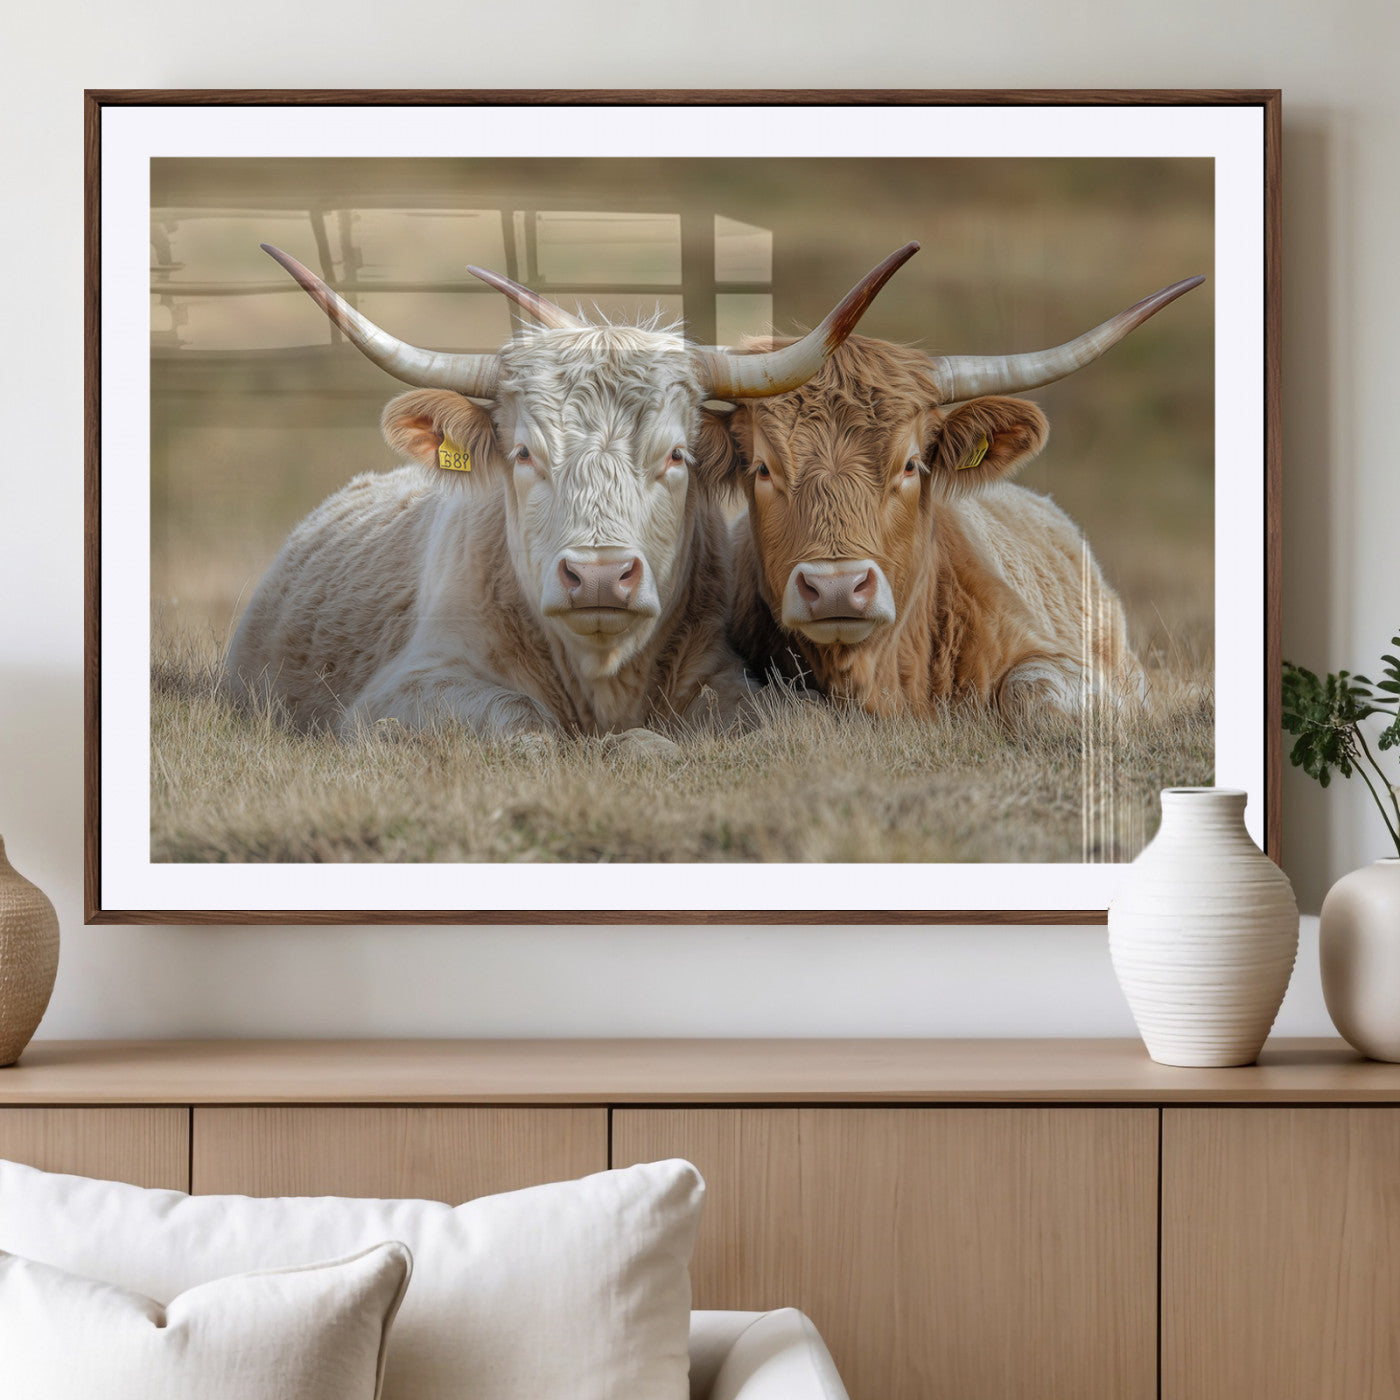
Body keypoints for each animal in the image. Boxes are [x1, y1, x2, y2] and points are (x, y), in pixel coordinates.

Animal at [222, 241, 918, 753]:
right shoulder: (407, 690)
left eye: (676, 455)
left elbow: (785, 723)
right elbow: (525, 726)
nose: (600, 576)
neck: (601, 673)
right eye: (525, 453)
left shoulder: (728, 677)